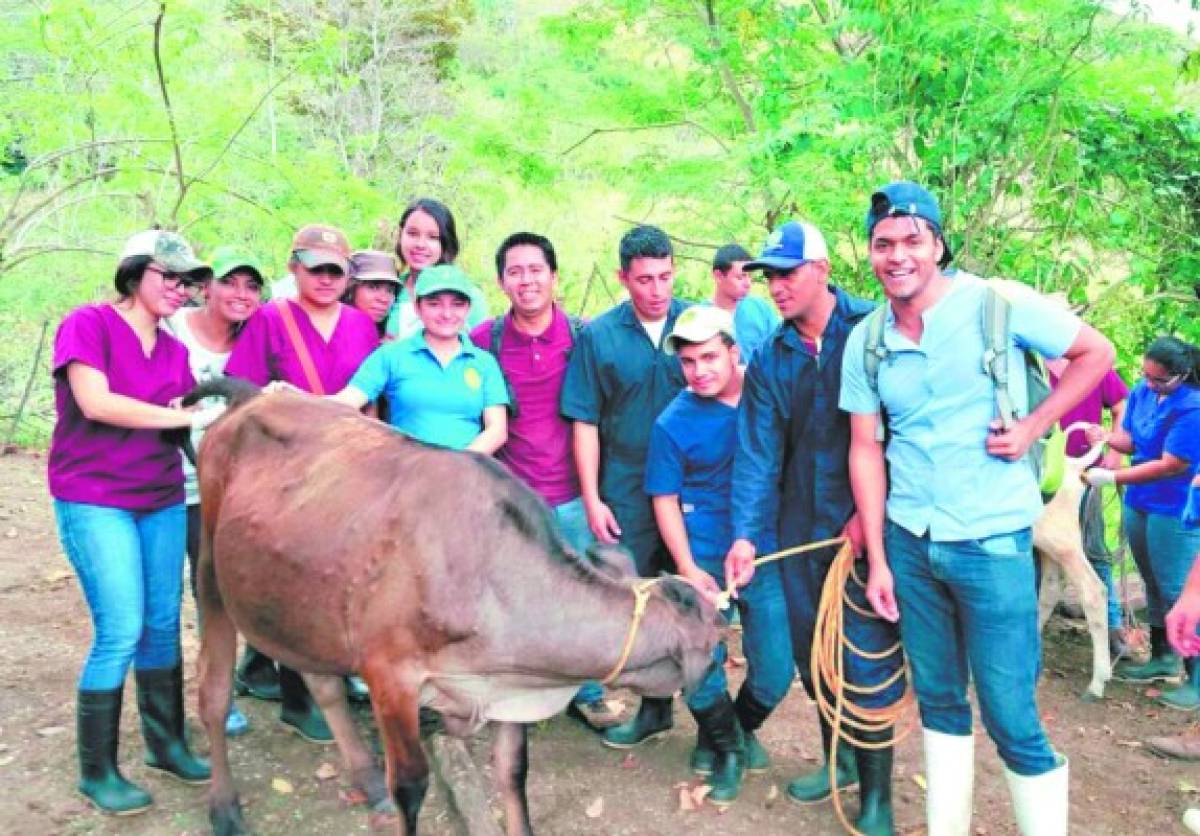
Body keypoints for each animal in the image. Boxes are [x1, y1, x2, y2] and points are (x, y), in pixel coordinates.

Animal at [184, 379, 710, 834]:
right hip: (210, 569)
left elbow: (512, 773)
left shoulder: (505, 687)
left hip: (306, 601)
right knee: (213, 692)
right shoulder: (390, 676)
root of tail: (250, 397)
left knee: (323, 683)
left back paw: (366, 779)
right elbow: (411, 784)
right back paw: (224, 808)